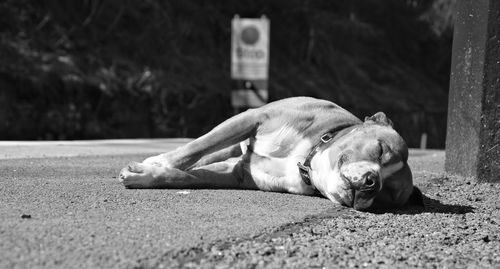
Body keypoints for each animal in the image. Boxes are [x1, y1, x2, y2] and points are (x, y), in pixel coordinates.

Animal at [118, 97, 422, 210]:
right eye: (381, 150)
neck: (306, 161)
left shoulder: (238, 173)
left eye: (389, 194)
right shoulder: (252, 117)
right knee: (204, 149)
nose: (373, 182)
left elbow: (185, 177)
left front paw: (148, 174)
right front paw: (156, 162)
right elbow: (197, 148)